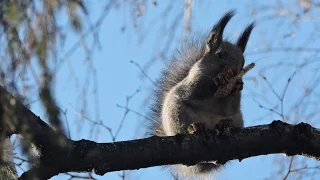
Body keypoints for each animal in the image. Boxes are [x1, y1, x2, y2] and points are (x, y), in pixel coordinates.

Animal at [148, 10, 255, 180]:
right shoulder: (193, 82)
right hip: (177, 114)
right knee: (185, 128)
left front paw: (238, 85)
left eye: (244, 62)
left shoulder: (230, 104)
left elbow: (230, 107)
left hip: (238, 119)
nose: (234, 71)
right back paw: (196, 128)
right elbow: (197, 91)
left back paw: (225, 124)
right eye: (219, 55)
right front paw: (220, 79)